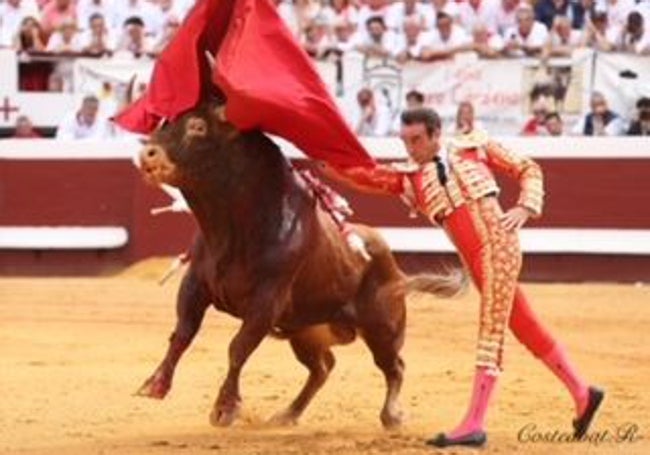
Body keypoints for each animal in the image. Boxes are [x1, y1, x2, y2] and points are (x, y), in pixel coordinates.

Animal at [135, 106, 460, 428]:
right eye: (165, 122)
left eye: (198, 127)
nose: (147, 153)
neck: (233, 228)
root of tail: (391, 261)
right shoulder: (194, 285)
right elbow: (183, 333)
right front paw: (155, 384)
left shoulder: (265, 304)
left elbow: (238, 348)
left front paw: (224, 409)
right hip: (304, 332)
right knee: (322, 367)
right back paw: (288, 414)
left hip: (382, 328)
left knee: (393, 366)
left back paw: (392, 415)